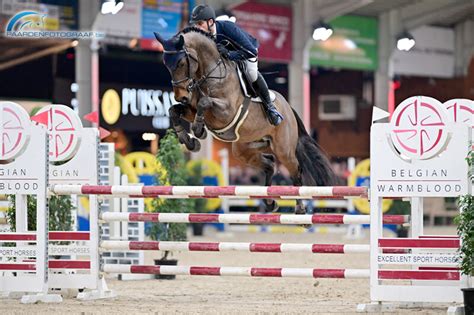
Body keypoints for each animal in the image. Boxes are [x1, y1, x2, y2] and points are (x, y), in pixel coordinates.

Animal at [154, 27, 336, 215]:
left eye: (181, 63)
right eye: (167, 65)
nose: (181, 96)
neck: (211, 73)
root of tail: (289, 108)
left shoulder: (225, 111)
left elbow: (204, 102)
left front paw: (198, 130)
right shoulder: (192, 110)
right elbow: (173, 110)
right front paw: (189, 141)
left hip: (283, 149)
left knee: (296, 171)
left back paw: (299, 209)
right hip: (244, 148)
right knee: (270, 164)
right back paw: (270, 203)